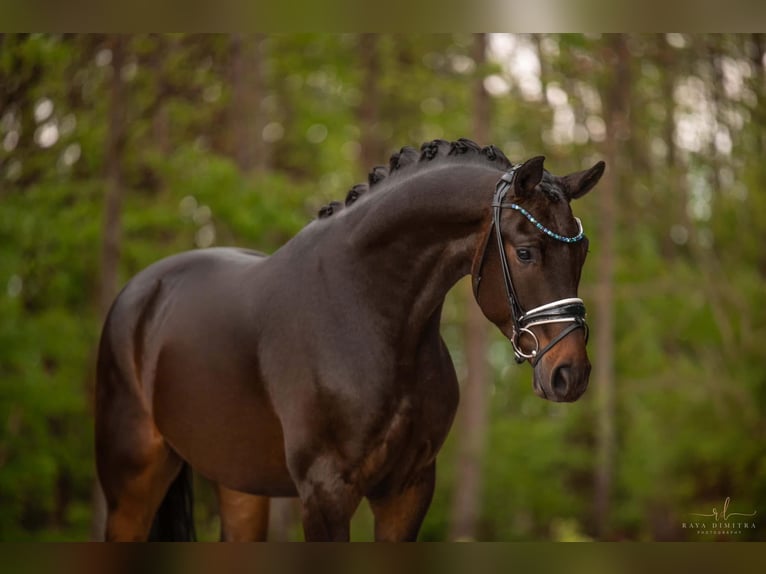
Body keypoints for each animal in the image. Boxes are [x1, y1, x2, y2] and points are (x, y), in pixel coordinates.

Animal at [94, 137, 608, 544]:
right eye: (526, 252)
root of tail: (141, 293)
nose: (571, 373)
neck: (367, 312)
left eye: (582, 250)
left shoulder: (408, 489)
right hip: (132, 484)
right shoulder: (326, 493)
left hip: (238, 483)